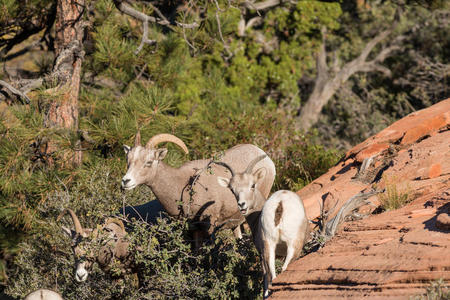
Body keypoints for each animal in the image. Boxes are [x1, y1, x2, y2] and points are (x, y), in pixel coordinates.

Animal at [120, 132, 274, 245]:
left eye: (149, 162)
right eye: (128, 160)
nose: (126, 181)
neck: (182, 186)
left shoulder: (208, 227)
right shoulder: (191, 230)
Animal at [215, 155, 310, 298]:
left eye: (252, 185)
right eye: (232, 189)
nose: (242, 205)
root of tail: (280, 203)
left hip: (269, 245)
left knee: (273, 274)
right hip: (291, 247)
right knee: (280, 271)